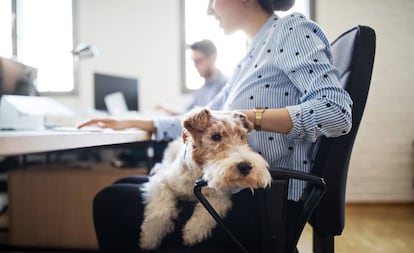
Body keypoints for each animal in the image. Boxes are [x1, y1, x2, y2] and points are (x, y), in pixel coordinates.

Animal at [139, 107, 274, 250]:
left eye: (242, 136)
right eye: (216, 136)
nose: (246, 166)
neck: (198, 174)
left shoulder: (220, 197)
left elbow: (208, 212)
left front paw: (192, 233)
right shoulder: (160, 183)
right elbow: (160, 212)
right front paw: (149, 239)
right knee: (163, 164)